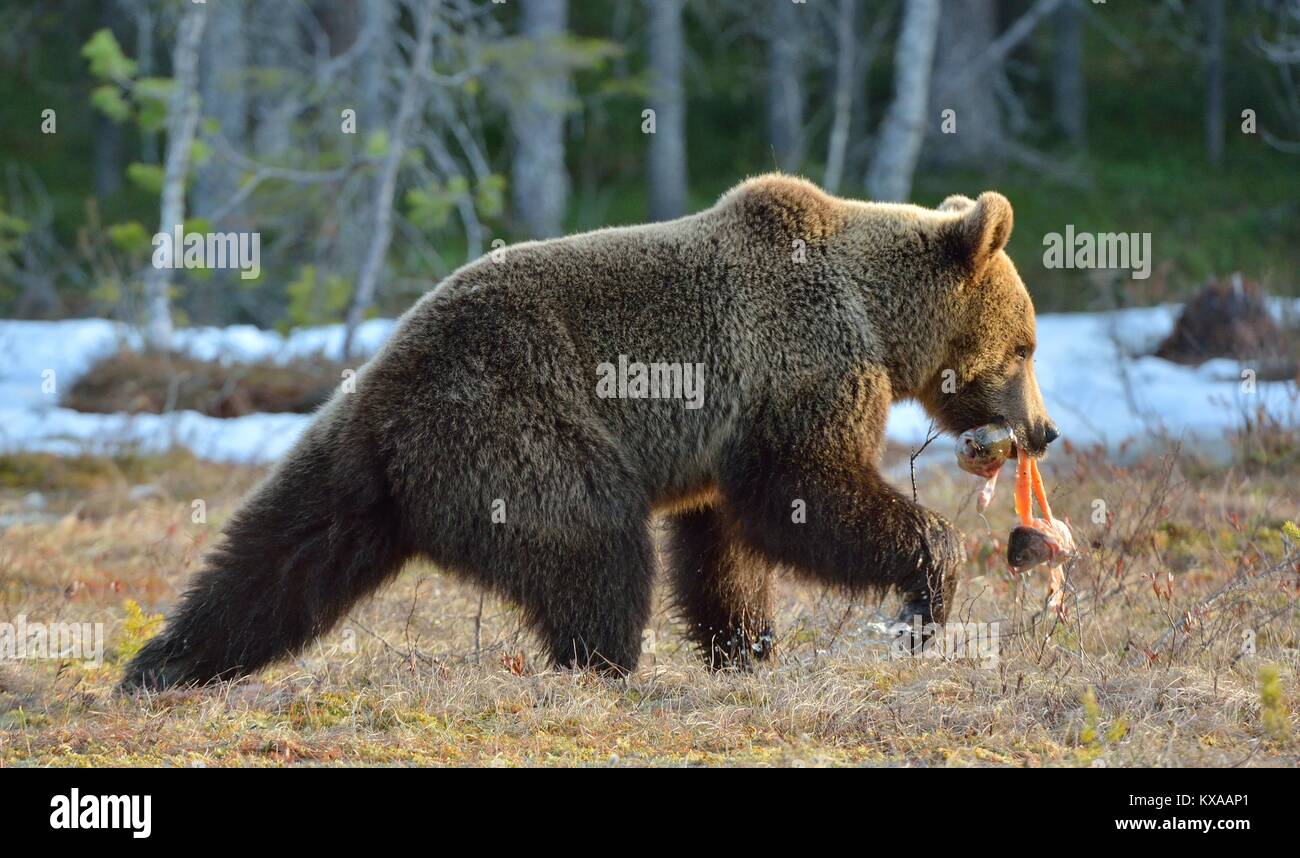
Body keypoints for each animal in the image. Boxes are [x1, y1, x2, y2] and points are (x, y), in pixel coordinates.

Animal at [119, 174, 1055, 691]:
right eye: (1027, 344)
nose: (1042, 431)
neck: (879, 319)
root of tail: (389, 394)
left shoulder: (725, 432)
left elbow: (723, 544)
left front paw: (747, 647)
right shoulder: (798, 364)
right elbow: (801, 492)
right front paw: (924, 595)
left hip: (348, 462)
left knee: (275, 560)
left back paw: (162, 664)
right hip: (518, 424)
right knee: (596, 541)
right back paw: (605, 665)